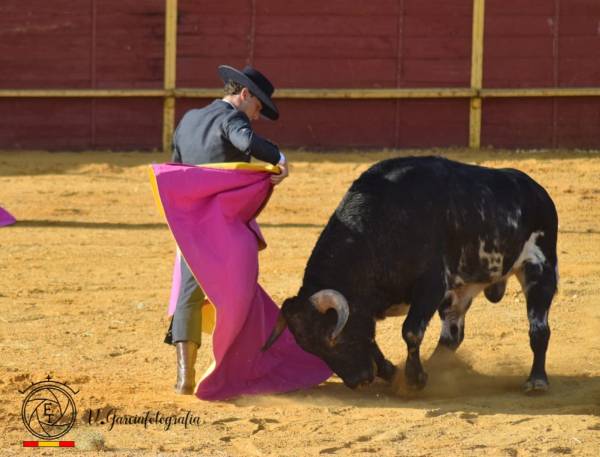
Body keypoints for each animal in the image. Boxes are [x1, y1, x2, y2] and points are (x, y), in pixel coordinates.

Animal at [263, 156, 558, 394]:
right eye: (310, 348)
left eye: (333, 339)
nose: (359, 380)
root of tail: (537, 191)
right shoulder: (371, 307)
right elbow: (372, 339)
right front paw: (395, 373)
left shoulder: (431, 286)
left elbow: (411, 332)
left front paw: (414, 379)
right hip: (461, 291)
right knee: (451, 336)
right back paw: (438, 368)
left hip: (540, 269)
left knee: (539, 329)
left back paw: (537, 381)